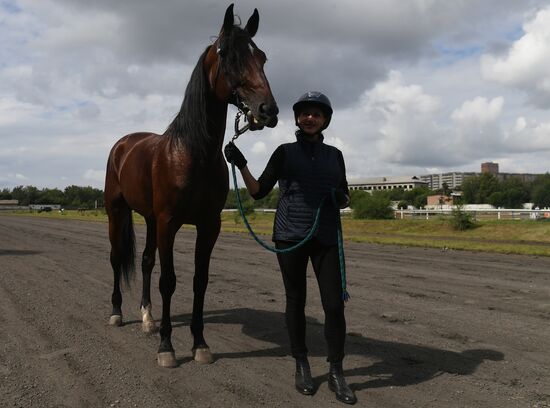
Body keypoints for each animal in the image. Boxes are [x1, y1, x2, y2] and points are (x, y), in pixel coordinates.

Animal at [103, 3, 278, 368]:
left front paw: (199, 344)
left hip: (150, 220)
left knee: (145, 261)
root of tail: (123, 144)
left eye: (262, 57)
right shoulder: (169, 222)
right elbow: (168, 281)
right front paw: (167, 348)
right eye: (229, 55)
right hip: (117, 212)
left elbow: (199, 281)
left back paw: (147, 319)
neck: (194, 153)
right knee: (116, 257)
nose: (268, 110)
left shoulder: (208, 225)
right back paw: (116, 313)